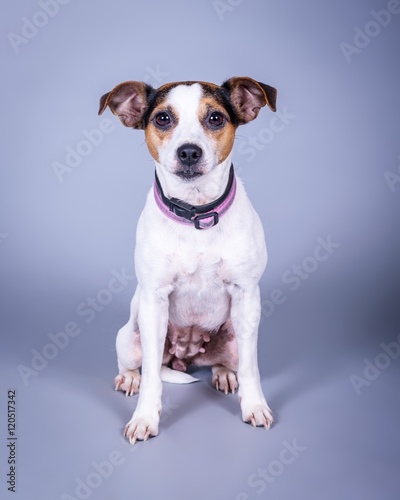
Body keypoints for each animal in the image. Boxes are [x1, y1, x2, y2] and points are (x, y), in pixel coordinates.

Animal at [98, 77, 276, 446]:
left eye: (216, 118)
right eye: (163, 118)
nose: (189, 152)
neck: (196, 214)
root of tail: (185, 359)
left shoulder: (247, 297)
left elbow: (251, 369)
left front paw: (254, 406)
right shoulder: (154, 301)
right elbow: (152, 377)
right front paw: (144, 418)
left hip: (234, 337)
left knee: (230, 362)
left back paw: (224, 375)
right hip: (129, 338)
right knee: (136, 364)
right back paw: (130, 378)